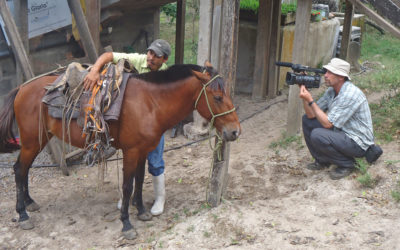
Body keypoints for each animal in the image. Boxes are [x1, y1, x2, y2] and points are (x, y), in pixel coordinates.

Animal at [0, 62, 241, 238]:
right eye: (218, 97)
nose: (235, 131)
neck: (150, 103)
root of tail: (21, 88)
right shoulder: (131, 151)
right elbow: (127, 186)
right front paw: (126, 223)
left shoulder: (144, 150)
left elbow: (140, 180)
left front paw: (142, 211)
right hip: (32, 141)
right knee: (19, 169)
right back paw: (22, 215)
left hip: (39, 140)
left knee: (24, 169)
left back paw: (29, 203)